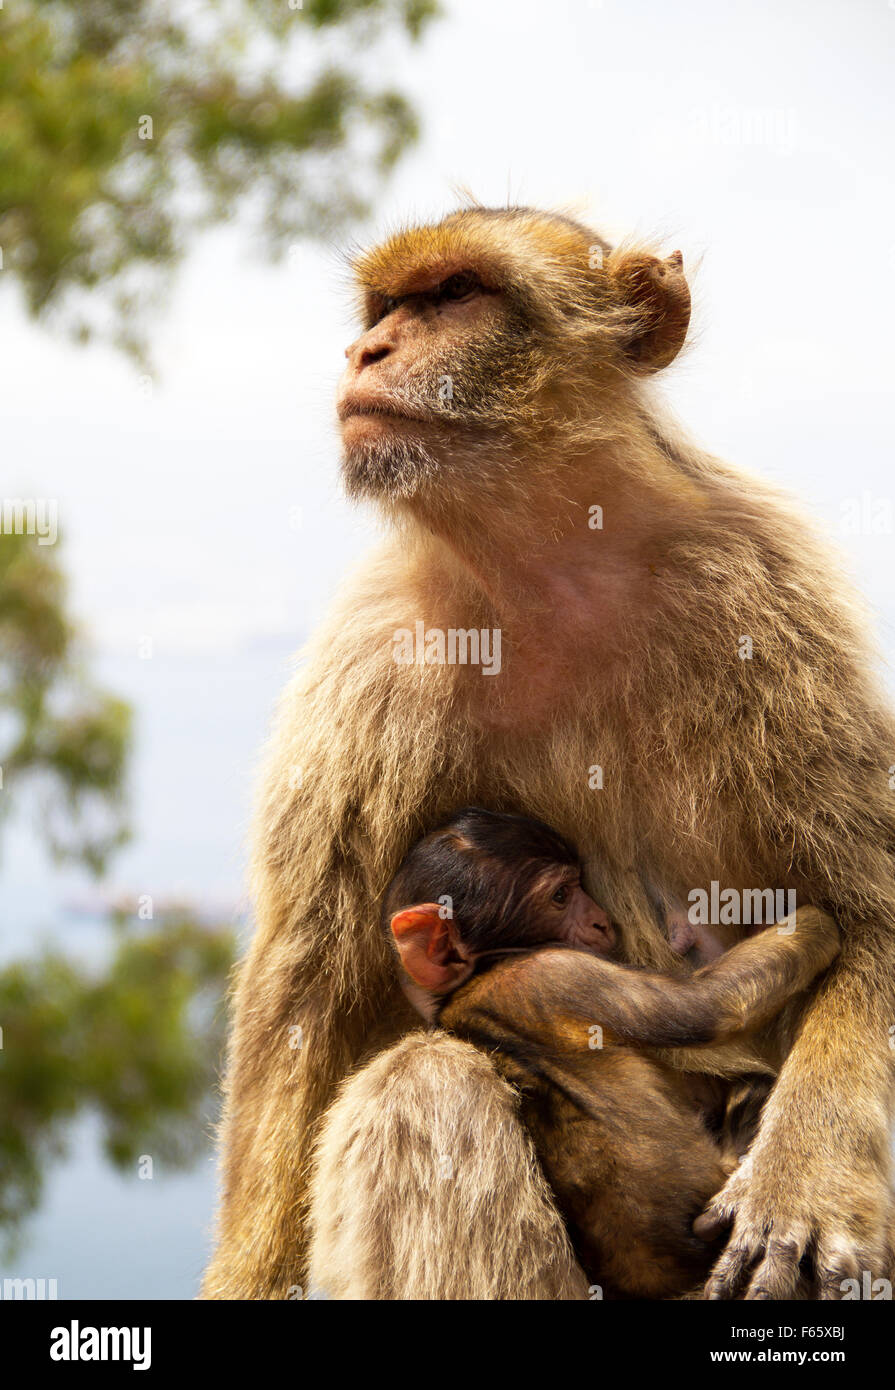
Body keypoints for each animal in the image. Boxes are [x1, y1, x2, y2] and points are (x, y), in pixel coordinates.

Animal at [382, 807, 841, 1299]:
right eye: (561, 895)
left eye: (578, 884)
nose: (600, 920)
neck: (472, 979)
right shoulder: (553, 971)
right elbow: (706, 1007)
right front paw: (818, 921)